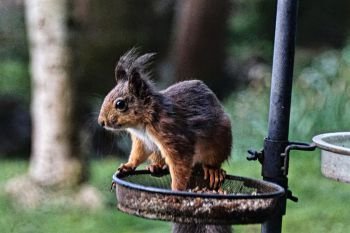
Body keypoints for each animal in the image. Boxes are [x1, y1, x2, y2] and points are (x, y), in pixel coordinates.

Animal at [98, 49, 232, 191]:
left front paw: (177, 189)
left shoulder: (172, 135)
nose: (101, 122)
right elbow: (138, 154)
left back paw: (213, 171)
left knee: (212, 161)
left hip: (219, 143)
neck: (141, 124)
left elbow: (180, 164)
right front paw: (128, 165)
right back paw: (157, 166)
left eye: (120, 104)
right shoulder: (142, 141)